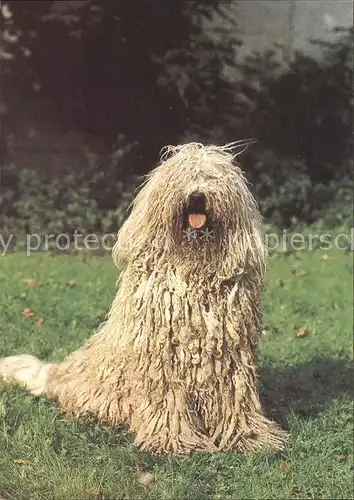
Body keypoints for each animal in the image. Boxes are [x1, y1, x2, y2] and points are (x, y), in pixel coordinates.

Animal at [0, 143, 288, 456]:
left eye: (212, 177)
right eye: (182, 176)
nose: (197, 195)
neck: (193, 271)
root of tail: (58, 373)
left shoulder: (230, 359)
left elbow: (233, 399)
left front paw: (249, 436)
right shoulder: (162, 358)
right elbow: (167, 400)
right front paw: (172, 440)